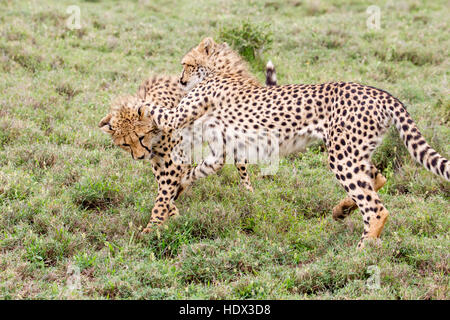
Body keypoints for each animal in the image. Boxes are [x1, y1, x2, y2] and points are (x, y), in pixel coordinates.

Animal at [145, 37, 450, 248]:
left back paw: (362, 250)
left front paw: (135, 107)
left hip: (342, 156)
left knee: (376, 209)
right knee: (378, 177)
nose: (181, 80)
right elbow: (197, 171)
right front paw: (178, 191)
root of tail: (382, 93)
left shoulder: (181, 116)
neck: (221, 72)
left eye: (187, 64)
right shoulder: (220, 150)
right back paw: (342, 210)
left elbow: (154, 110)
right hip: (356, 151)